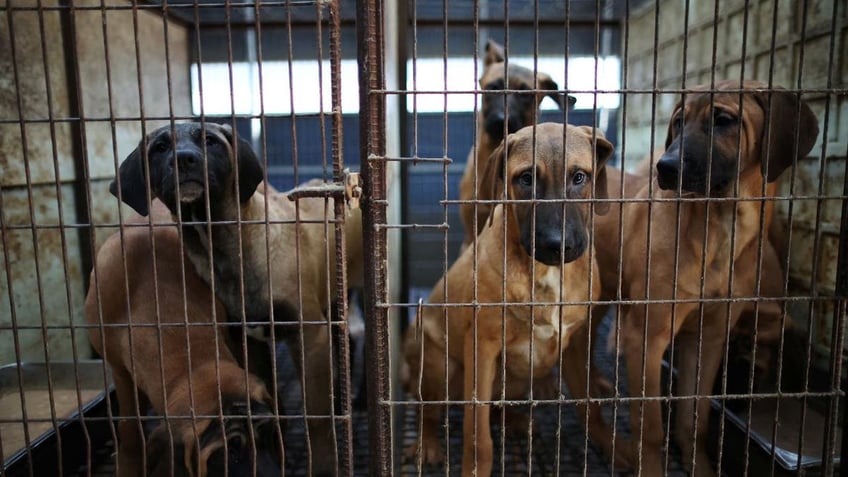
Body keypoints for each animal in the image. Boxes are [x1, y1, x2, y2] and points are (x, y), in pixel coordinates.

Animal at [109, 121, 362, 474]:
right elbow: (271, 399)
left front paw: (324, 465)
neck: (227, 247)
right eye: (159, 147)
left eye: (210, 140)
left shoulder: (308, 335)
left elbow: (316, 418)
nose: (185, 159)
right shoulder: (249, 341)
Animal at [400, 122, 612, 472]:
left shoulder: (577, 341)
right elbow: (478, 435)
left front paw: (617, 448)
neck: (544, 272)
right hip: (438, 364)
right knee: (428, 410)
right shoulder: (483, 347)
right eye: (525, 179)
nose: (558, 245)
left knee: (497, 408)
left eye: (579, 177)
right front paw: (474, 468)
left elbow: (590, 406)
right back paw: (427, 443)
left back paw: (516, 420)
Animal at [580, 80, 820, 474]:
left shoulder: (708, 338)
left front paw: (701, 466)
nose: (665, 167)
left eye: (723, 120)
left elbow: (695, 419)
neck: (719, 226)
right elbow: (651, 426)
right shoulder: (646, 338)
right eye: (679, 122)